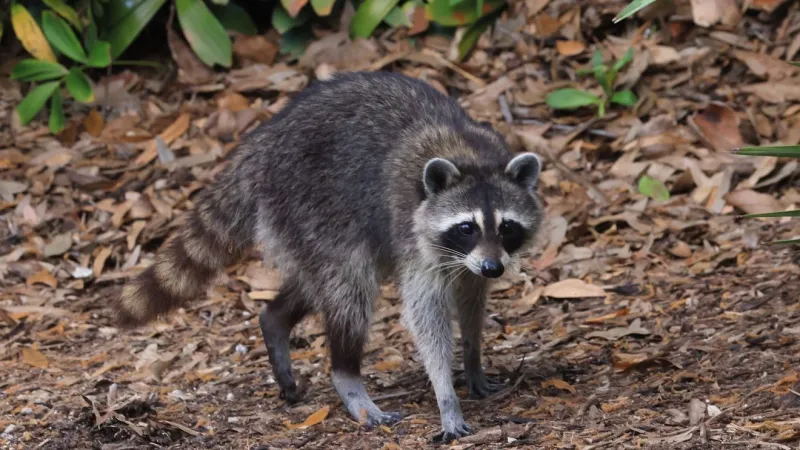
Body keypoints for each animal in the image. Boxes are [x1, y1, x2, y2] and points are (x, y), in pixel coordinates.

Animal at [117, 71, 543, 442]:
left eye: (506, 227)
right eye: (467, 227)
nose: (494, 268)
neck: (468, 154)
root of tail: (260, 144)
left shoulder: (470, 259)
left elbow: (472, 297)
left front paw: (472, 358)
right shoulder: (415, 231)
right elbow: (426, 314)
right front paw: (445, 395)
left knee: (317, 282)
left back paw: (275, 320)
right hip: (311, 204)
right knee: (349, 288)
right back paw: (346, 375)